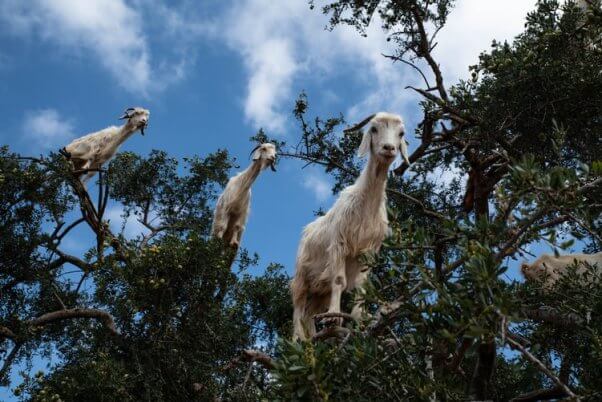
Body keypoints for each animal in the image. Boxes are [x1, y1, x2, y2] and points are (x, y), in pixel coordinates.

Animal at [290, 111, 408, 340]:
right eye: (374, 129)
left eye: (401, 133)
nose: (389, 148)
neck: (366, 204)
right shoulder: (339, 244)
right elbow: (339, 280)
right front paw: (335, 317)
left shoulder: (369, 251)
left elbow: (361, 287)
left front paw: (359, 318)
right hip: (301, 276)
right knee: (298, 309)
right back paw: (297, 340)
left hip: (320, 290)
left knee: (310, 314)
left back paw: (312, 340)